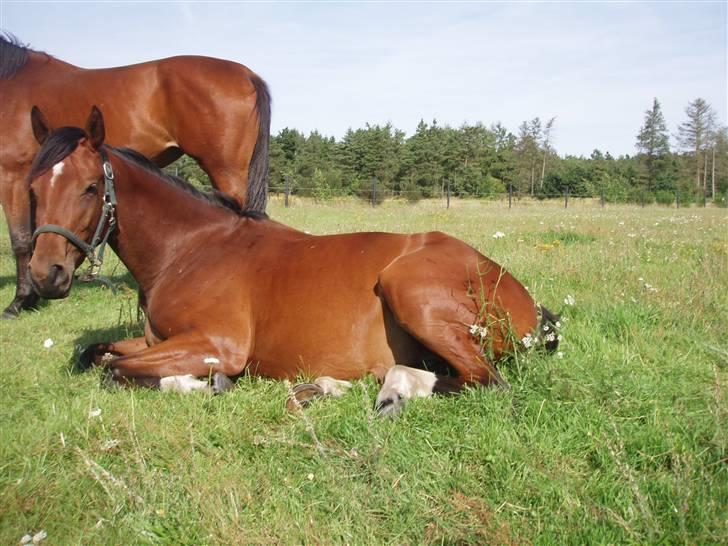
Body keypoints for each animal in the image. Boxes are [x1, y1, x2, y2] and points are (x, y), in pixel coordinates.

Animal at [0, 33, 270, 314]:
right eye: (36, 189)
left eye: (91, 188)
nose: (46, 277)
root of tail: (248, 75)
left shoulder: (11, 175)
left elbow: (20, 240)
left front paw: (18, 302)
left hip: (227, 171)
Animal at [25, 108, 556, 414]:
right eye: (32, 188)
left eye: (90, 187)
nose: (46, 276)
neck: (191, 248)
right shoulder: (158, 340)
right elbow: (96, 354)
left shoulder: (216, 344)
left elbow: (115, 370)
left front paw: (205, 385)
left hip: (409, 291)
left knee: (486, 383)